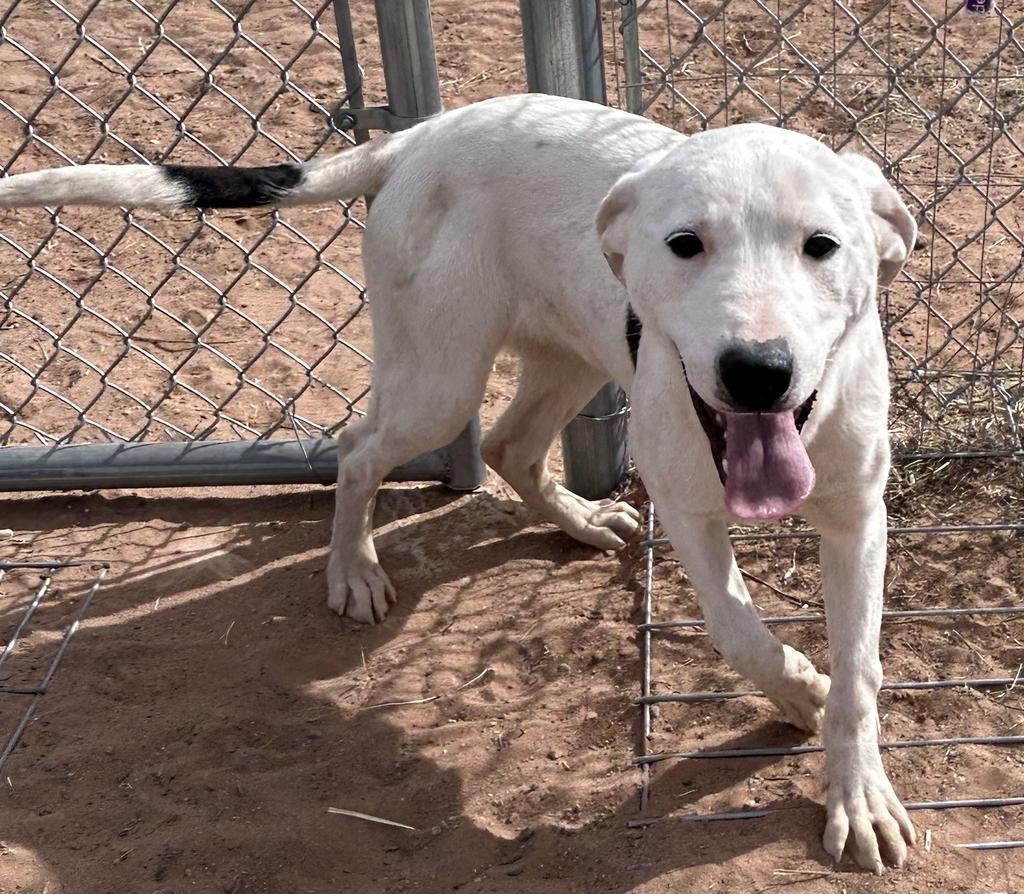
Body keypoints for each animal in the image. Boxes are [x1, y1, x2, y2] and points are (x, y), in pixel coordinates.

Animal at [0, 94, 913, 868]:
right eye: (685, 243)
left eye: (822, 245)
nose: (758, 371)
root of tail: (419, 135)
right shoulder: (689, 508)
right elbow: (740, 632)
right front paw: (798, 691)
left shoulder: (858, 519)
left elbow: (859, 672)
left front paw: (856, 788)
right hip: (438, 381)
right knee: (360, 447)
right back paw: (354, 569)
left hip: (569, 354)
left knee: (510, 446)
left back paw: (581, 521)